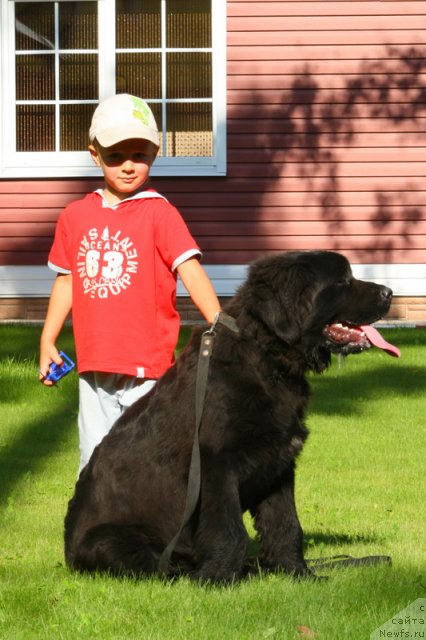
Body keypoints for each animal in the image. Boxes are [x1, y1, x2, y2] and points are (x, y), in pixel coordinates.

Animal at [64, 252, 400, 584]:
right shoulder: (217, 464)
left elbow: (286, 524)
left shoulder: (279, 464)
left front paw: (297, 573)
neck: (267, 356)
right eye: (343, 281)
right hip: (110, 541)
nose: (389, 292)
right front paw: (219, 578)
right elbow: (228, 529)